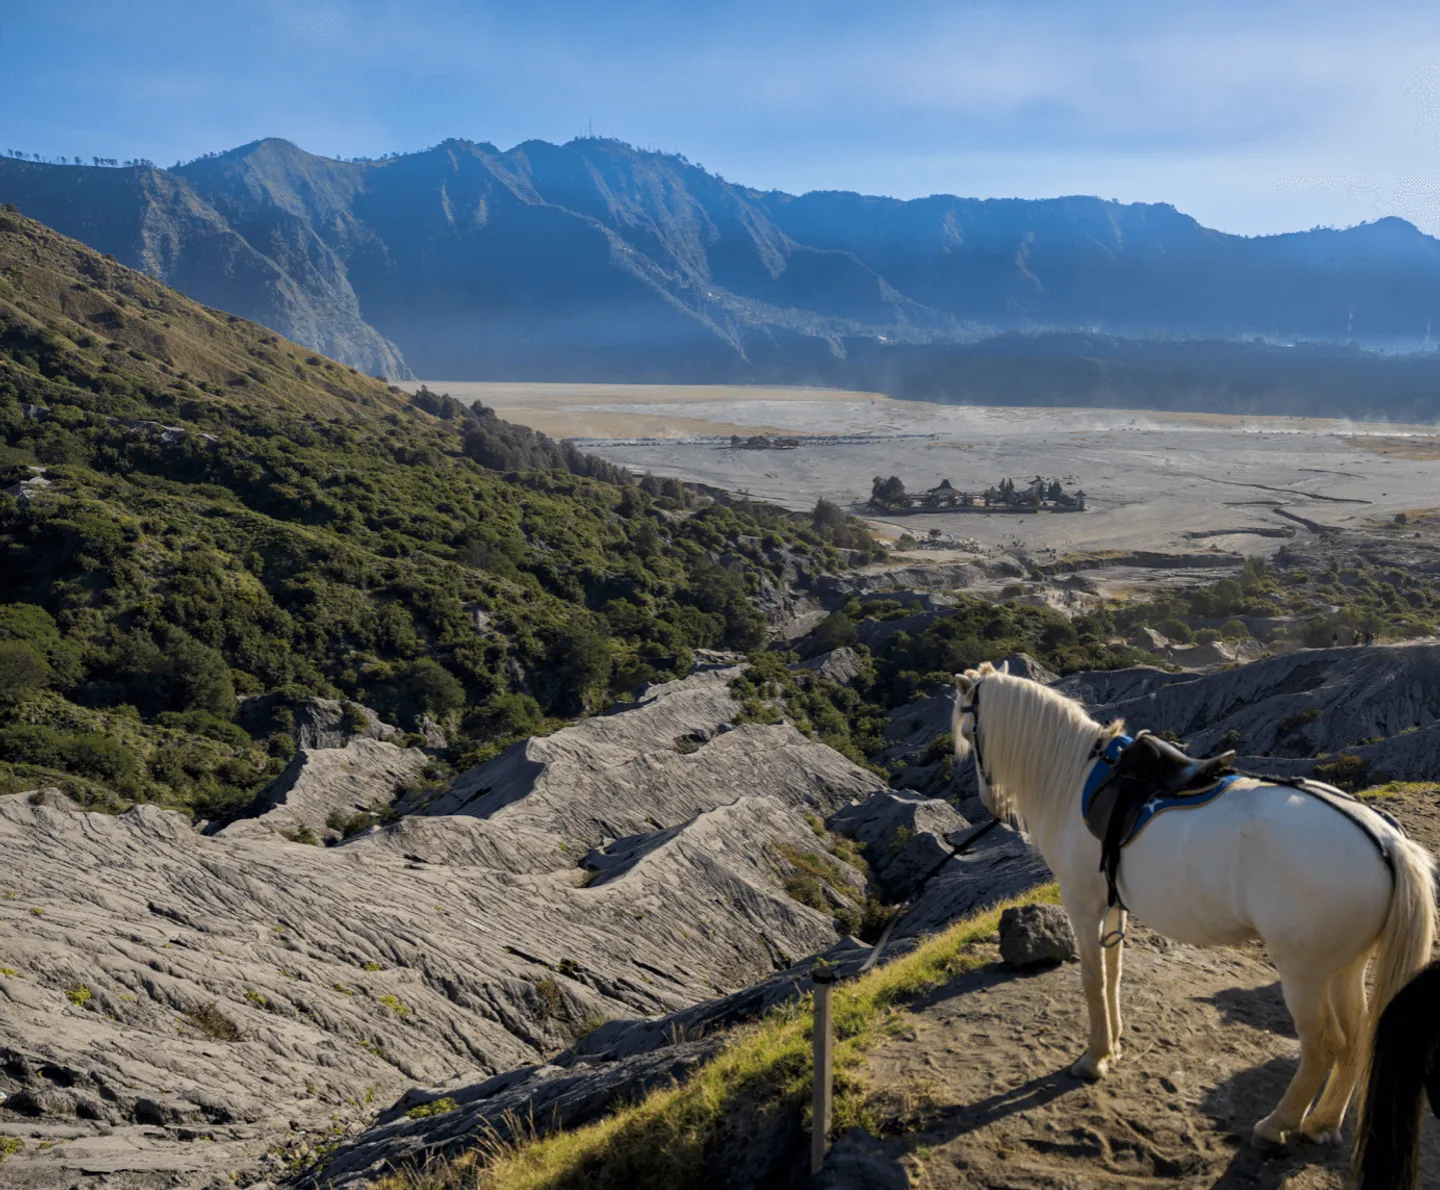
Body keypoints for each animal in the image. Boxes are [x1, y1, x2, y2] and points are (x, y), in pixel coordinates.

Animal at [951, 662, 1436, 1150]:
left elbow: (1092, 978)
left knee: (1322, 1045)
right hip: (1346, 968)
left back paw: (1276, 1124)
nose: (990, 800)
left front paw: (1094, 1058)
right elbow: (1113, 974)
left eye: (971, 729)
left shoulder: (1082, 902)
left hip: (1305, 974)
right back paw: (1322, 1122)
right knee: (1357, 1039)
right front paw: (1115, 1045)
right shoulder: (1112, 904)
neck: (1075, 779)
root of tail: (1386, 840)